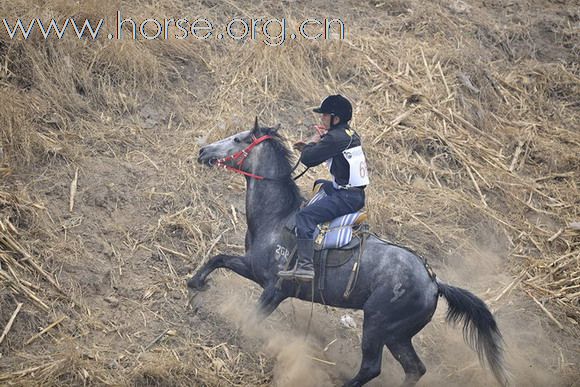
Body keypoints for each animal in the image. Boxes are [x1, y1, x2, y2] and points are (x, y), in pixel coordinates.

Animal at [187, 119, 508, 387]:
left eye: (238, 139)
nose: (203, 151)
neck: (278, 218)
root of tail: (434, 282)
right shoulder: (253, 268)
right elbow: (218, 258)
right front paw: (196, 283)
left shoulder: (274, 290)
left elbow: (253, 316)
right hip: (397, 335)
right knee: (414, 369)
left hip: (377, 326)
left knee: (371, 367)